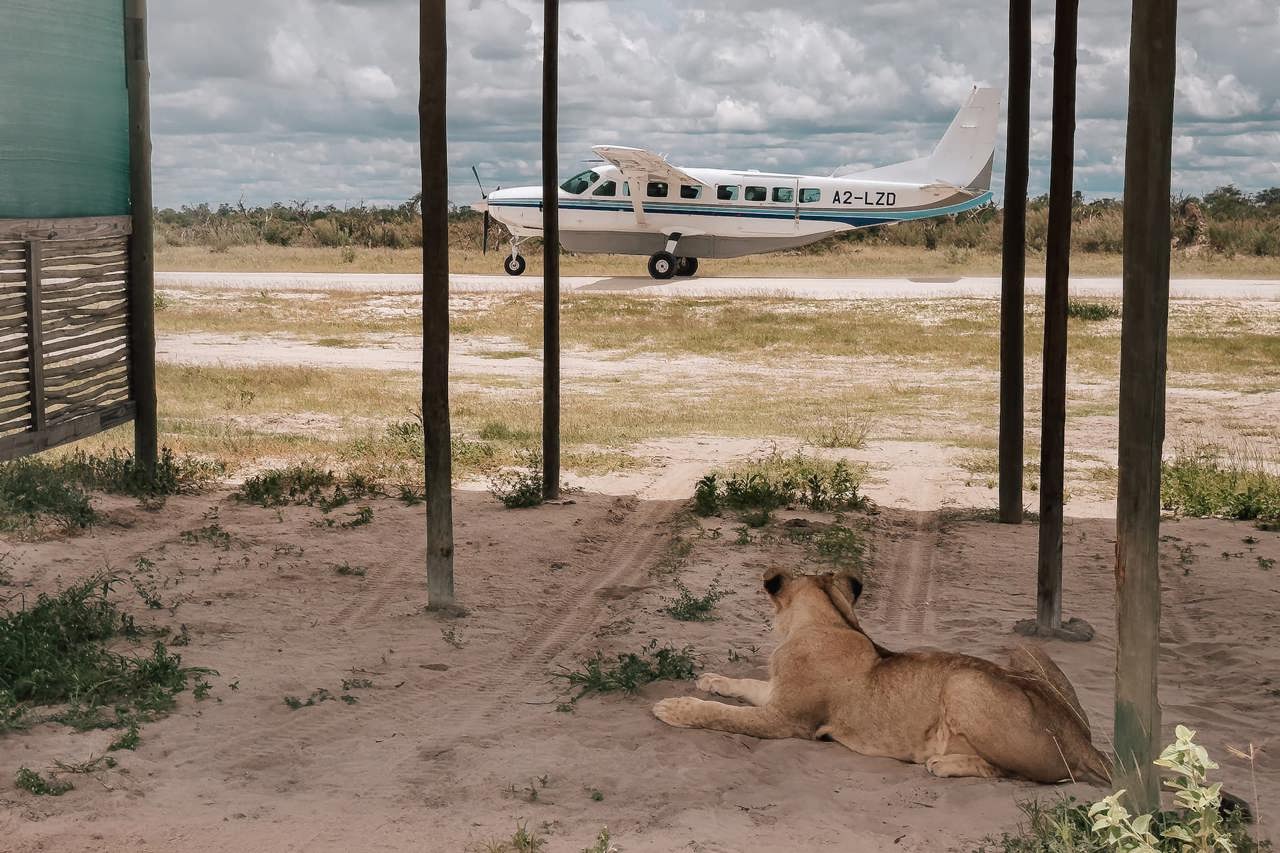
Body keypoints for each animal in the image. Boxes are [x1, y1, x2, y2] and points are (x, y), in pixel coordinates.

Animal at [653, 568, 1111, 785]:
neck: (832, 621)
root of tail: (1085, 741)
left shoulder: (787, 721)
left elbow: (721, 715)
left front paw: (673, 707)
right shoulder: (776, 696)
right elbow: (744, 685)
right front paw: (710, 679)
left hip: (965, 681)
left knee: (1024, 774)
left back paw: (941, 763)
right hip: (1021, 650)